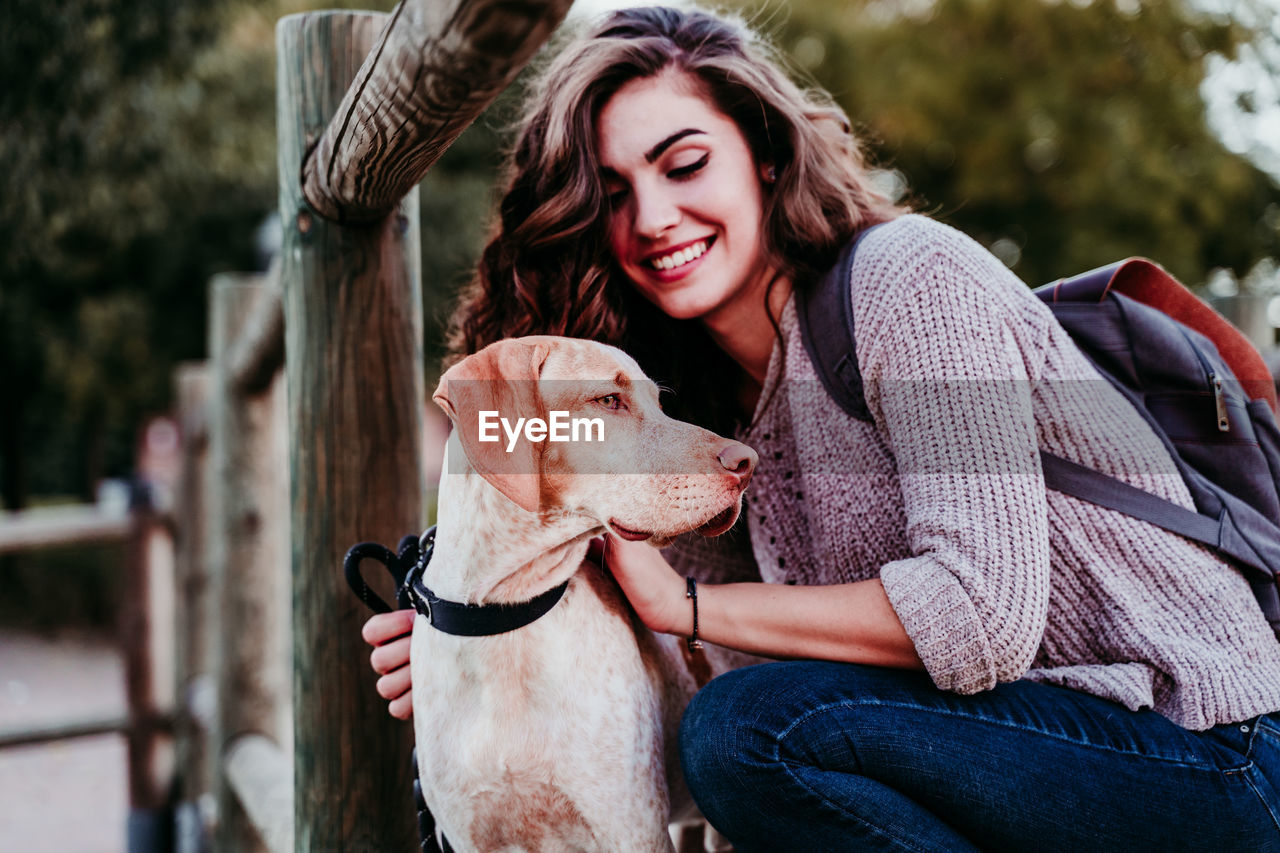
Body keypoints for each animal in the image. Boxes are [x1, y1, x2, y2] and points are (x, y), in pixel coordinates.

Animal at [412, 335, 747, 850]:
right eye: (608, 400)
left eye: (659, 403)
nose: (748, 463)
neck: (506, 617)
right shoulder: (470, 834)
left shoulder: (633, 830)